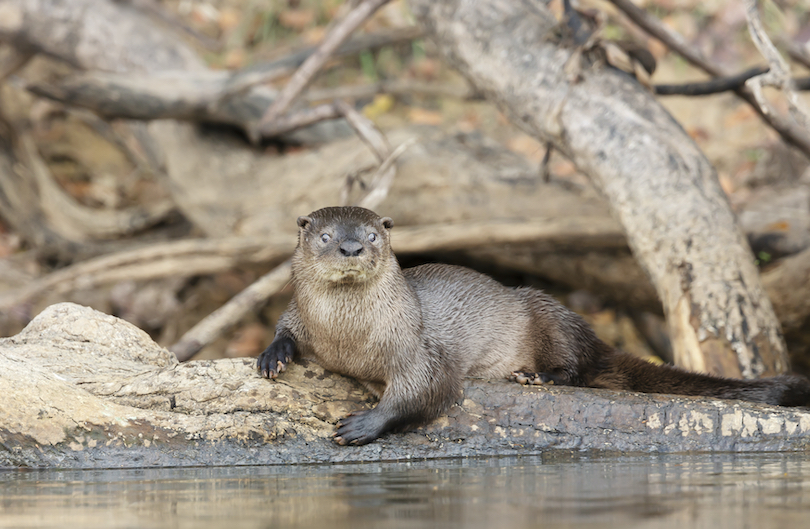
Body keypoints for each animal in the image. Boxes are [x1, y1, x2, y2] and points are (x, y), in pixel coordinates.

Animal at [258, 204, 808, 444]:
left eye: (372, 235)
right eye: (326, 235)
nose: (352, 247)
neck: (347, 338)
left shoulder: (417, 347)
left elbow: (430, 389)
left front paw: (364, 424)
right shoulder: (301, 315)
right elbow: (285, 325)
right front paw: (273, 355)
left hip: (546, 311)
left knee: (579, 366)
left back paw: (537, 375)